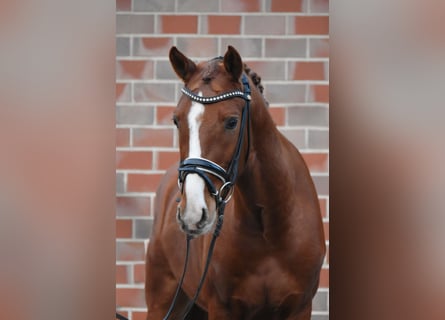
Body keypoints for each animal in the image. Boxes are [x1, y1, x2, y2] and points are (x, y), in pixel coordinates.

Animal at [144, 45, 324, 320]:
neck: (270, 228)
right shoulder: (222, 309)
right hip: (163, 303)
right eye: (176, 120)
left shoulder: (300, 308)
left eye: (232, 122)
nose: (192, 213)